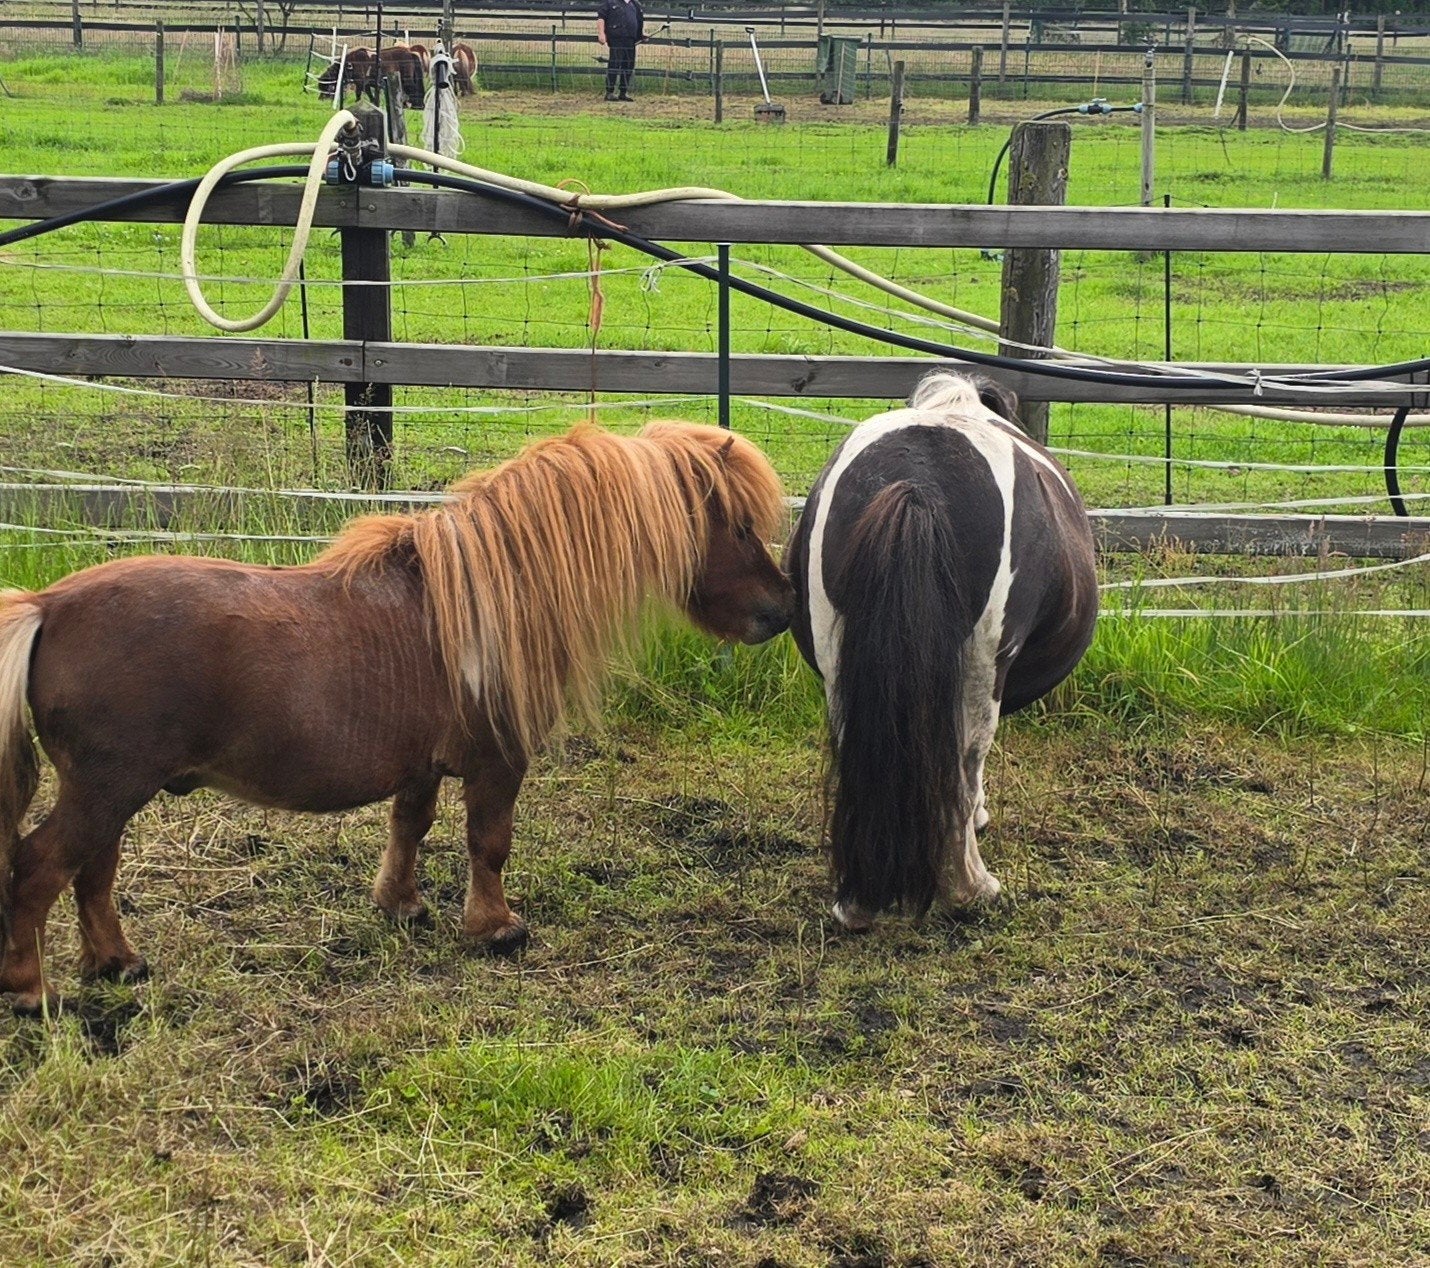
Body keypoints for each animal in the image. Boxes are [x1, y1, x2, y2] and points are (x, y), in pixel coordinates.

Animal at [0, 422, 792, 1014]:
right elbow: (488, 843)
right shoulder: (497, 762)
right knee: (41, 868)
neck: (491, 595)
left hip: (112, 793)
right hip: (108, 788)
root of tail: (47, 607)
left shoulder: (422, 767)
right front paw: (495, 929)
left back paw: (118, 964)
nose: (780, 611)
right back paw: (32, 992)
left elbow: (409, 829)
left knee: (93, 872)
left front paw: (402, 906)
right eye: (739, 525)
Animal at [785, 372, 1098, 932]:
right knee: (965, 758)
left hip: (841, 663)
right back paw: (971, 887)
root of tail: (916, 483)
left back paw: (857, 903)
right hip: (980, 667)